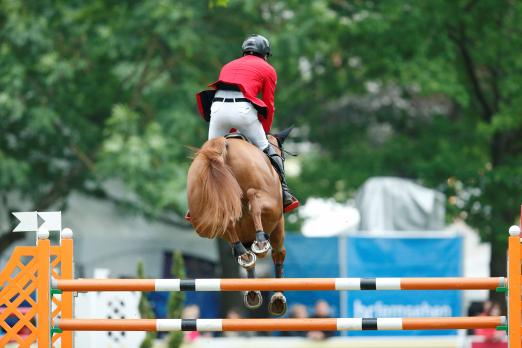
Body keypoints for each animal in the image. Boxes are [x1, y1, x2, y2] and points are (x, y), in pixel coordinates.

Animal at [185, 131, 288, 316]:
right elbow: (278, 253)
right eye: (281, 156)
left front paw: (252, 292)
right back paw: (261, 243)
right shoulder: (278, 223)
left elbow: (247, 259)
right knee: (254, 199)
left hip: (203, 221)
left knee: (228, 220)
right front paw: (277, 297)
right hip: (270, 203)